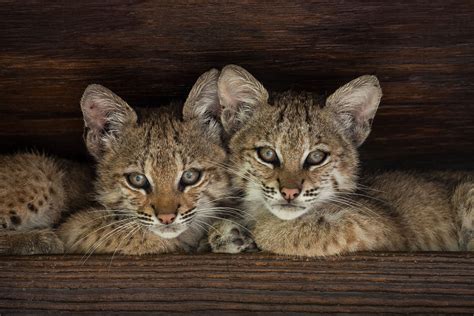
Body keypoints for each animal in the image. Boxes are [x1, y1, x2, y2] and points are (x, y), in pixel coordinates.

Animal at [1, 68, 235, 254]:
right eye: (137, 179)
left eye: (190, 176)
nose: (167, 218)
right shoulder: (76, 227)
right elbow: (139, 235)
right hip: (44, 174)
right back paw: (40, 239)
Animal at [209, 65, 472, 256]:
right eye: (267, 154)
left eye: (316, 157)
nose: (289, 193)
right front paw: (230, 233)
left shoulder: (375, 227)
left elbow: (286, 230)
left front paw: (251, 231)